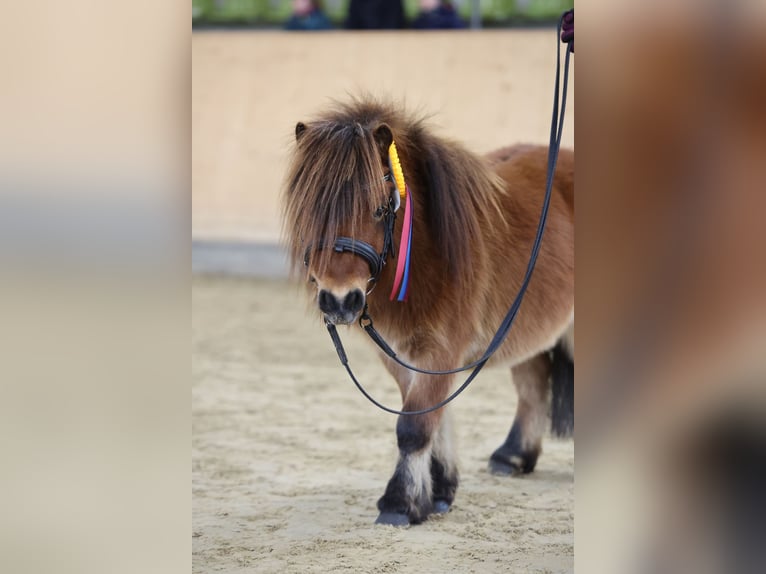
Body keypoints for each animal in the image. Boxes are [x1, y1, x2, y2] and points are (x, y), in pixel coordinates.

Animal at [282, 97, 574, 526]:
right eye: (309, 212)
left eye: (379, 209)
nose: (339, 301)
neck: (430, 252)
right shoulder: (402, 355)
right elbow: (433, 418)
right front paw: (438, 491)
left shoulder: (441, 349)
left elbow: (415, 426)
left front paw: (400, 502)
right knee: (533, 384)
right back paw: (513, 456)